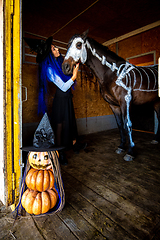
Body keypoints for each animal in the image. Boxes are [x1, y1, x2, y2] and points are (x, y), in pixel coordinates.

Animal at [62, 29, 160, 161]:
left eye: (78, 44)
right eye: (68, 45)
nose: (65, 67)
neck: (113, 73)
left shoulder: (125, 101)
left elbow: (128, 124)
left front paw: (130, 152)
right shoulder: (114, 105)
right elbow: (120, 125)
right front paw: (121, 147)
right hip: (156, 102)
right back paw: (156, 140)